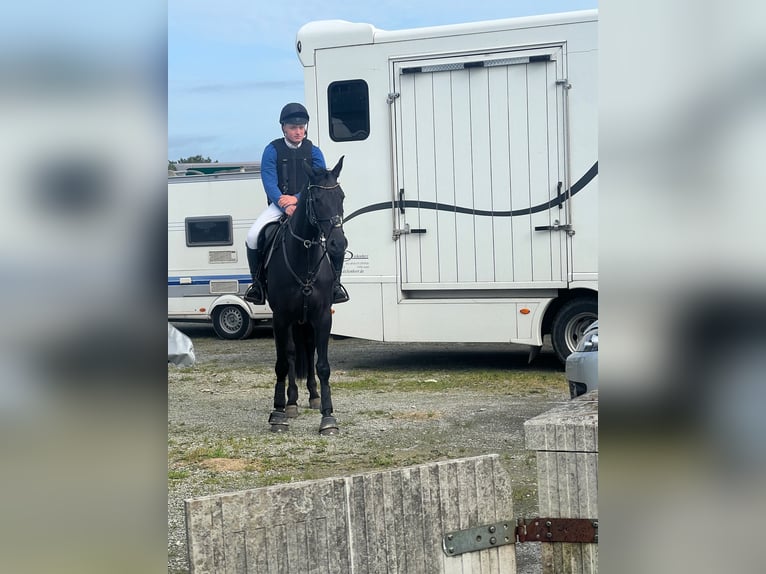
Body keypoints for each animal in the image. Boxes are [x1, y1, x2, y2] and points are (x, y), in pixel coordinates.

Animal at [266, 158, 346, 436]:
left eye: (341, 196)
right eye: (317, 199)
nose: (338, 244)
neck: (304, 259)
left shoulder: (322, 317)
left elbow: (322, 365)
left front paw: (328, 417)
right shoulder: (280, 318)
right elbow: (282, 362)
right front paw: (278, 413)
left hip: (306, 322)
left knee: (309, 351)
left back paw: (313, 397)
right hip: (292, 321)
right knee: (291, 355)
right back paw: (291, 402)